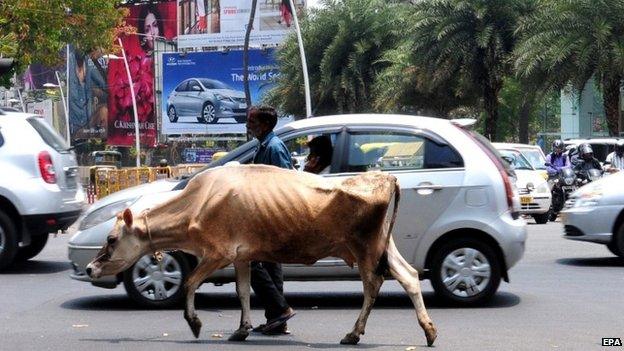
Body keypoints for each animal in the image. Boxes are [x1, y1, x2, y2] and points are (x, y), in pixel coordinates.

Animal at [85, 165, 436, 346]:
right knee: (408, 276)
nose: (89, 268)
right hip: (383, 246)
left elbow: (189, 283)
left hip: (365, 248)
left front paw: (195, 323)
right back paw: (429, 331)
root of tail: (385, 176)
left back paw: (353, 333)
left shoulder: (218, 253)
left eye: (112, 239)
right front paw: (242, 329)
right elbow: (242, 292)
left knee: (373, 284)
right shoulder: (242, 256)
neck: (197, 203)